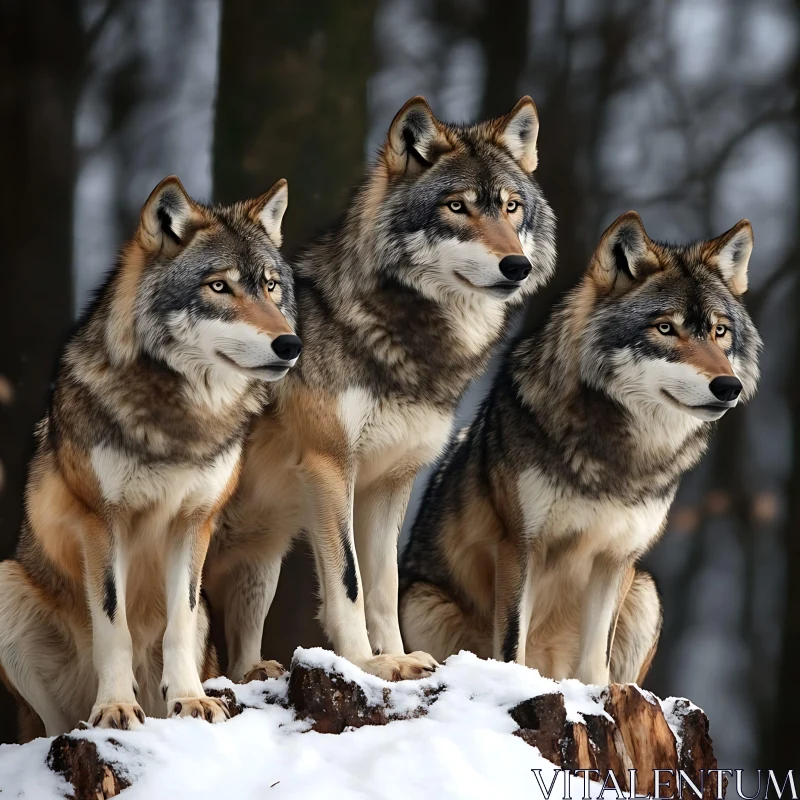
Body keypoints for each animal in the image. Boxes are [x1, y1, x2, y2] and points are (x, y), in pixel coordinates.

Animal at [0, 175, 300, 736]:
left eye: (270, 286)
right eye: (219, 287)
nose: (290, 344)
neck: (179, 421)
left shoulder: (195, 521)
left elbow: (177, 622)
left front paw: (191, 700)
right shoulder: (102, 521)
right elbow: (112, 625)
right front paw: (116, 707)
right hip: (7, 587)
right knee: (53, 727)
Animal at [203, 95, 556, 680]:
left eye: (511, 207)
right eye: (456, 207)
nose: (517, 265)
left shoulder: (390, 482)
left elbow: (385, 585)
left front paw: (398, 657)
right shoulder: (329, 467)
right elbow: (348, 580)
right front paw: (366, 664)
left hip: (261, 555)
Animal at [400, 212, 764, 688]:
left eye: (720, 331)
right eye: (666, 328)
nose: (728, 387)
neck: (619, 458)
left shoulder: (617, 558)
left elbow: (596, 662)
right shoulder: (520, 545)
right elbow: (511, 644)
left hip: (645, 592)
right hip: (420, 600)